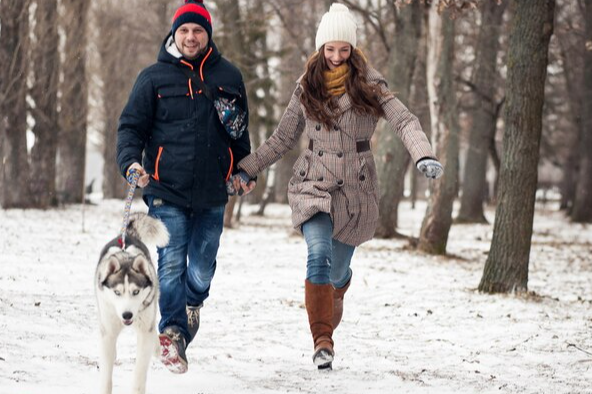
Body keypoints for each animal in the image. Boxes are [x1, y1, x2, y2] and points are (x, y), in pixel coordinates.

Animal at [95, 214, 169, 394]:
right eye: (117, 293)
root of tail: (127, 234)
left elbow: (140, 372)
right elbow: (106, 374)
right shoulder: (108, 329)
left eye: (136, 292)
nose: (127, 314)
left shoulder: (144, 331)